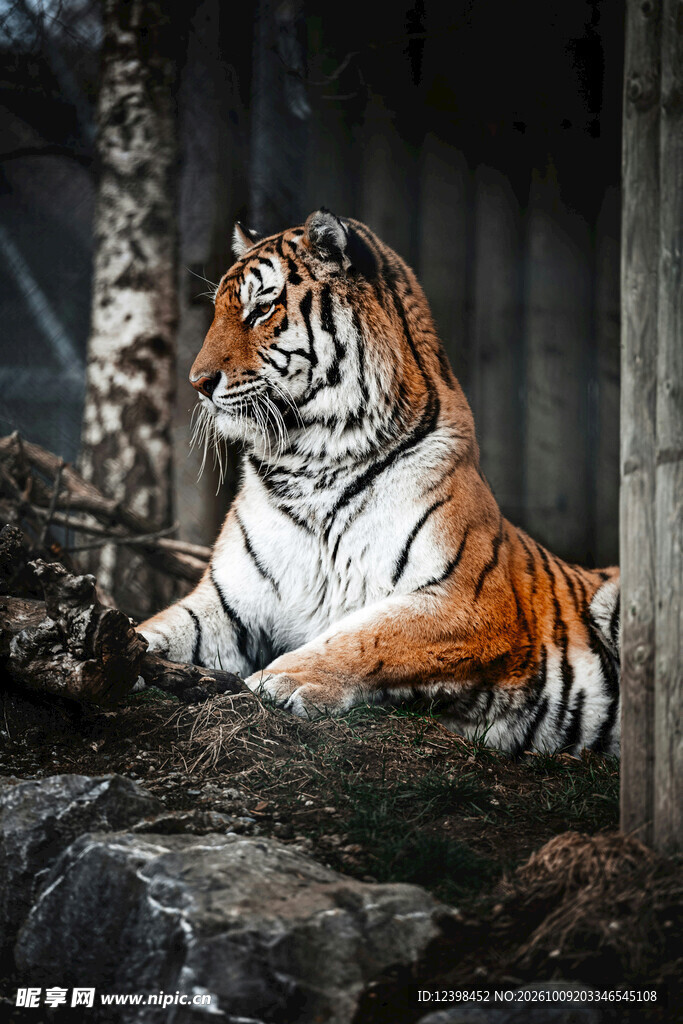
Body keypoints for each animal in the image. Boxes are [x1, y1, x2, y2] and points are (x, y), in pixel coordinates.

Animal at [139, 209, 621, 757]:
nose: (197, 383)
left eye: (262, 309)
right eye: (219, 310)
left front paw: (283, 679)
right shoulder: (228, 604)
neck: (309, 461)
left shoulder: (471, 600)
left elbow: (368, 636)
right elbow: (160, 628)